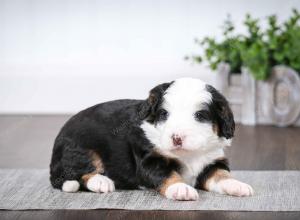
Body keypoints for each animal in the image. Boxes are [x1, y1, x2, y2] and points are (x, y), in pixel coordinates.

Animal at [50, 78, 254, 201]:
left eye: (199, 115)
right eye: (164, 114)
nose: (176, 138)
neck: (188, 154)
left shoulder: (212, 161)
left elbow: (221, 174)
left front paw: (236, 185)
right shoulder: (151, 160)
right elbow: (168, 174)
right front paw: (180, 188)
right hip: (81, 148)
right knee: (78, 173)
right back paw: (101, 182)